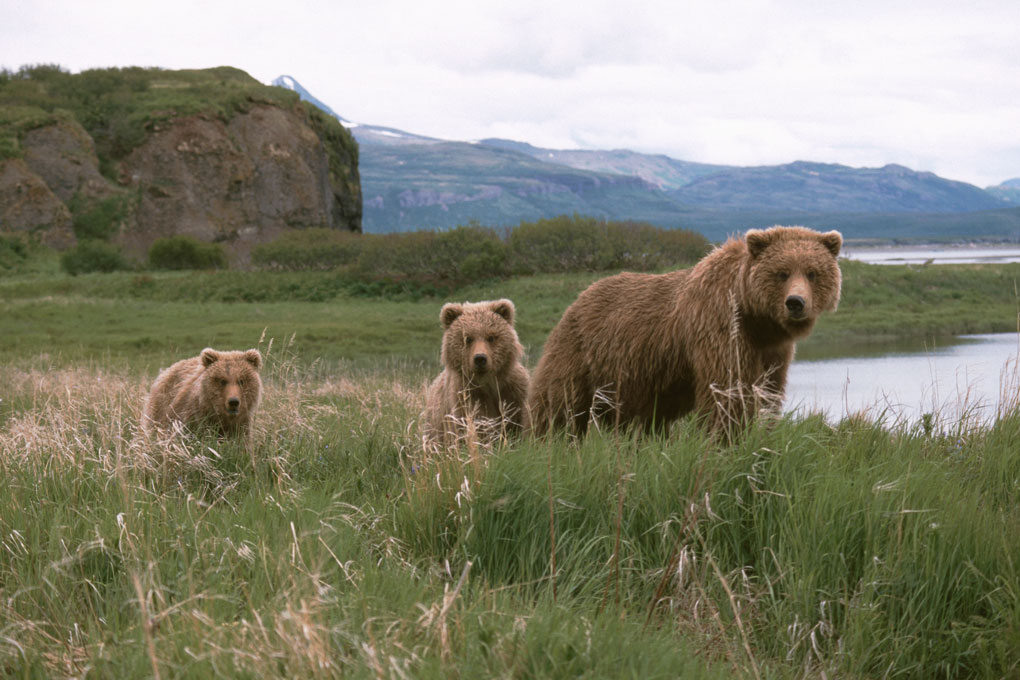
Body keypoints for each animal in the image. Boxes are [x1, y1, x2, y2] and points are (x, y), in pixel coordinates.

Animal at [423, 299, 530, 448]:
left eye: (491, 337)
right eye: (468, 338)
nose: (480, 358)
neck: (488, 382)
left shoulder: (512, 392)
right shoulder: (468, 396)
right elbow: (479, 425)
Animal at [527, 226, 842, 436]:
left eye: (813, 272)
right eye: (782, 273)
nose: (795, 302)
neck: (755, 318)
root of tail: (578, 298)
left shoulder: (773, 351)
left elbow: (767, 391)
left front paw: (762, 428)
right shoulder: (720, 329)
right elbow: (726, 392)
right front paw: (728, 436)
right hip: (580, 353)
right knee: (559, 404)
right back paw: (548, 437)